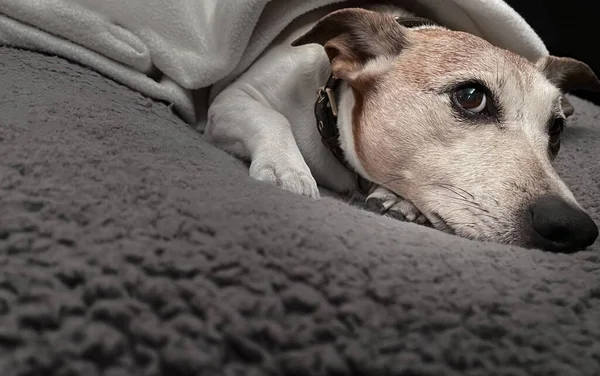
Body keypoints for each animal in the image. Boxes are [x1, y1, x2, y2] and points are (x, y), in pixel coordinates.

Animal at [206, 4, 600, 253]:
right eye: (471, 97)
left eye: (556, 129)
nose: (575, 227)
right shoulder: (230, 101)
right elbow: (273, 119)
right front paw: (286, 171)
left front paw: (398, 200)